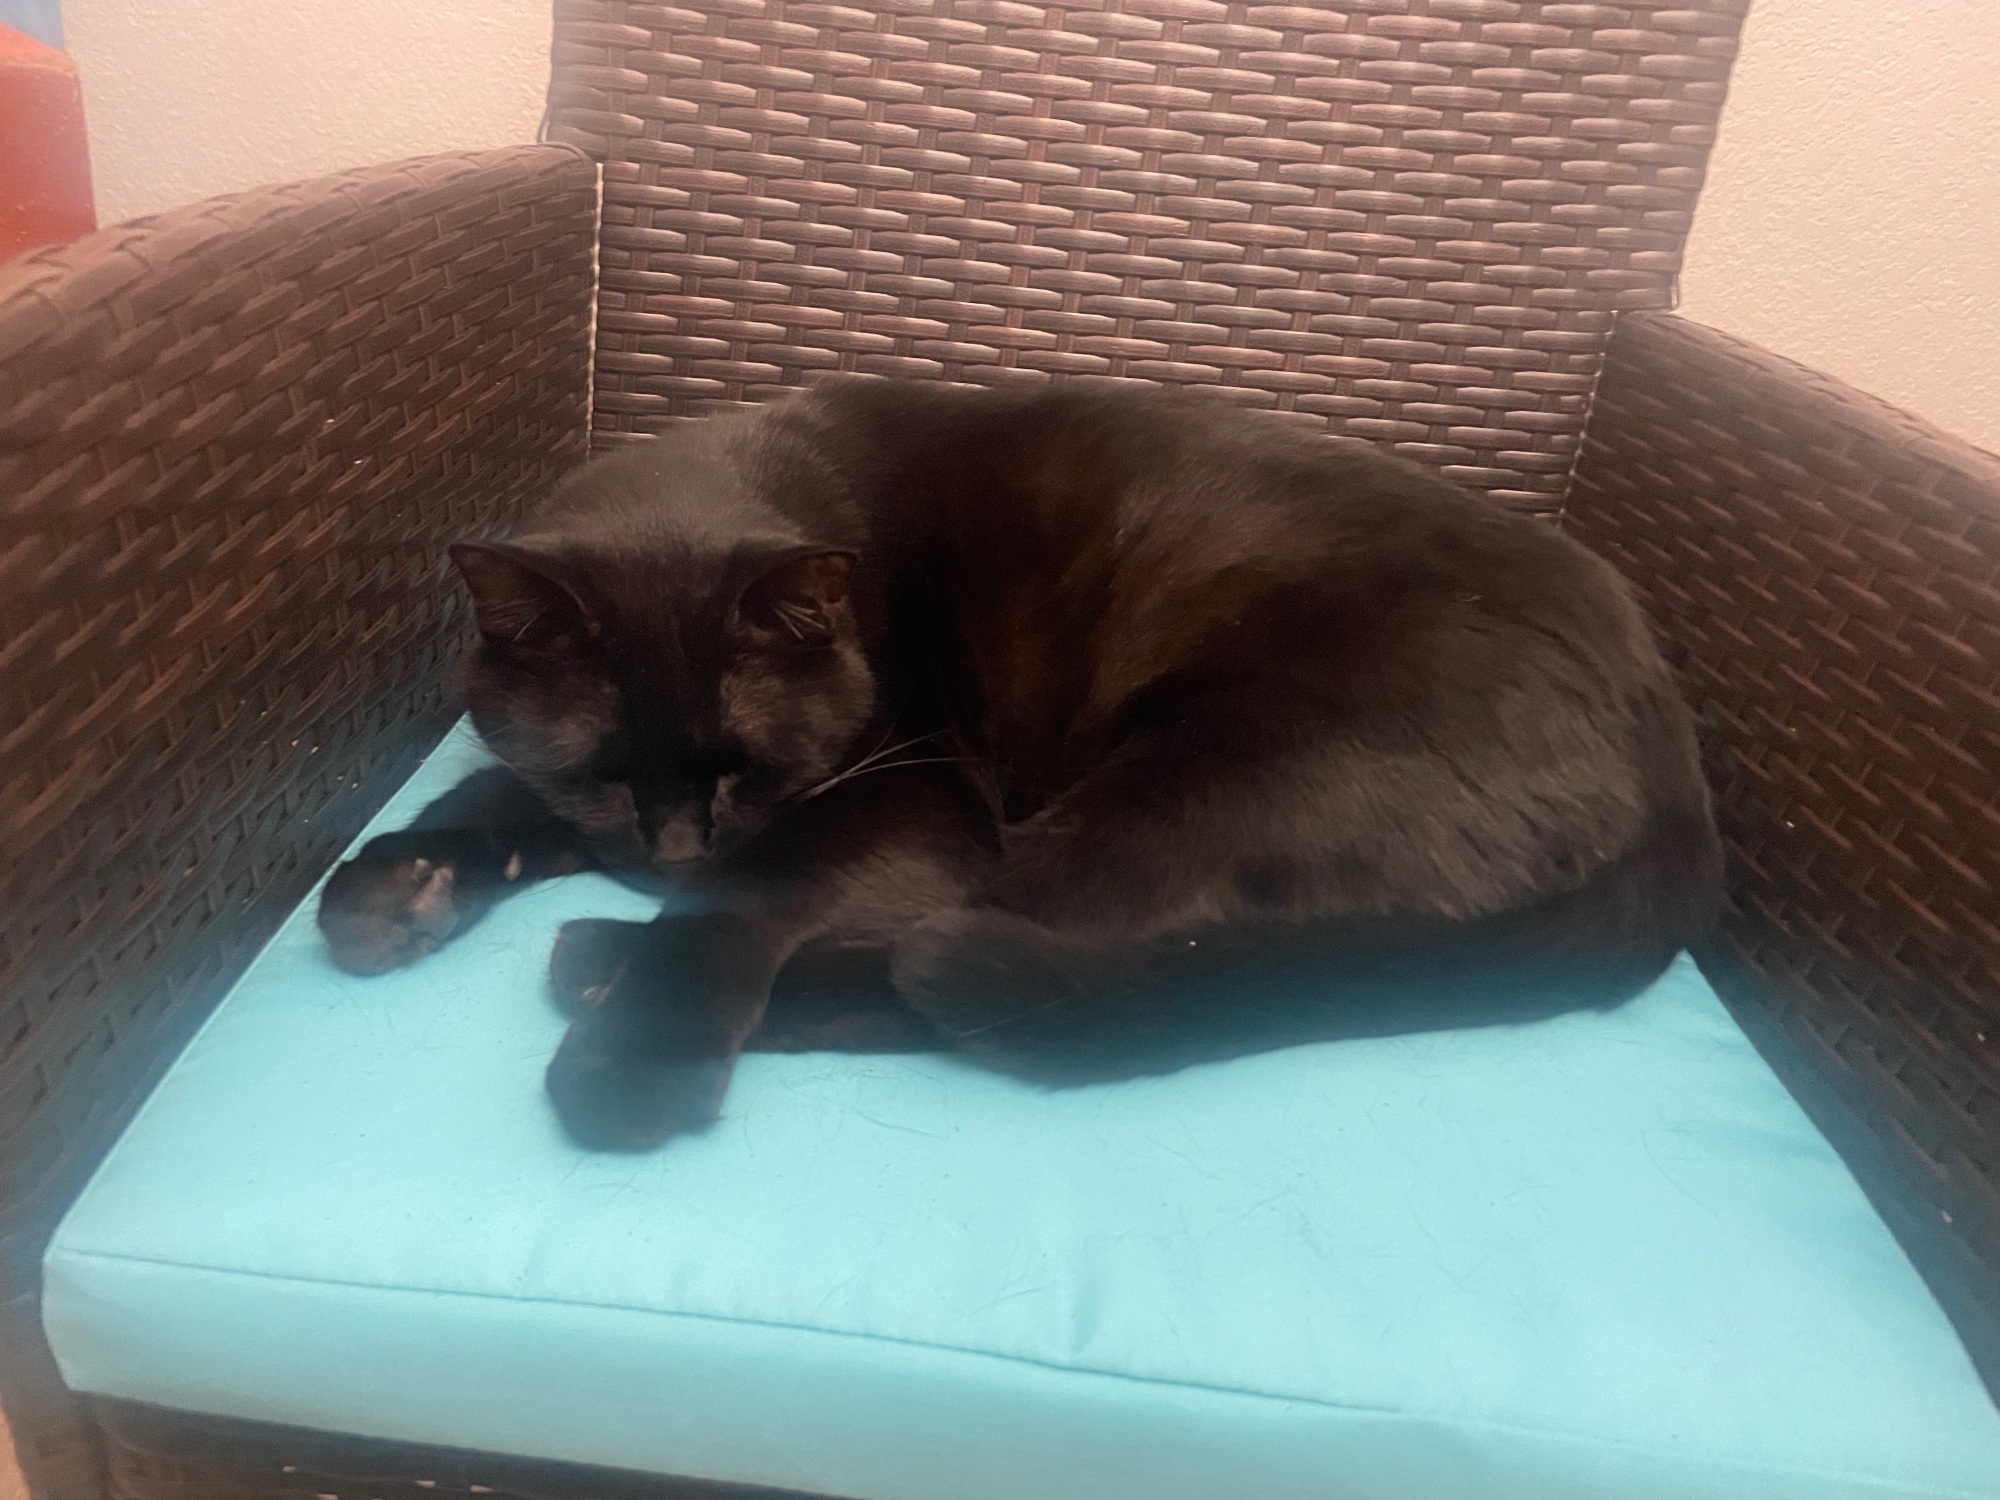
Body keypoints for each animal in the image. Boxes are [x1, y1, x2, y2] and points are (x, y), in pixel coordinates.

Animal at [318, 380, 1722, 1150]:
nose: (669, 849)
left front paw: (636, 1056)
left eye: (749, 766)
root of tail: (1677, 783)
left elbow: (746, 895)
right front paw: (401, 885)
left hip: (1177, 786)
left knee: (969, 979)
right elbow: (500, 789)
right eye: (609, 770)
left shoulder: (916, 794)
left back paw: (598, 971)